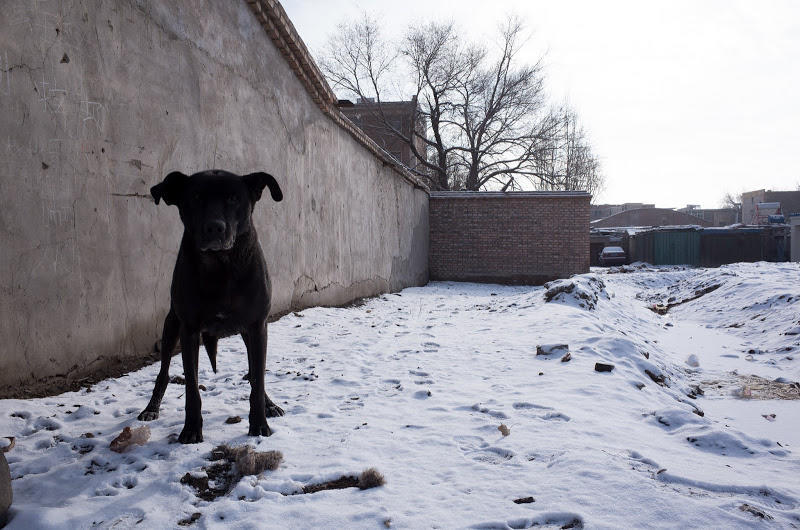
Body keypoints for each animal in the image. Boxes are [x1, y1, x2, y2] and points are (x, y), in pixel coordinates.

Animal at [139, 169, 286, 442]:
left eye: (234, 198)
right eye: (196, 197)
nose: (214, 227)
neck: (221, 265)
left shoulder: (257, 326)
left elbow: (258, 378)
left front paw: (259, 423)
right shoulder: (188, 330)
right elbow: (191, 389)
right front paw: (190, 429)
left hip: (248, 333)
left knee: (256, 373)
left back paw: (270, 404)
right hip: (170, 327)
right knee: (163, 373)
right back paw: (151, 408)